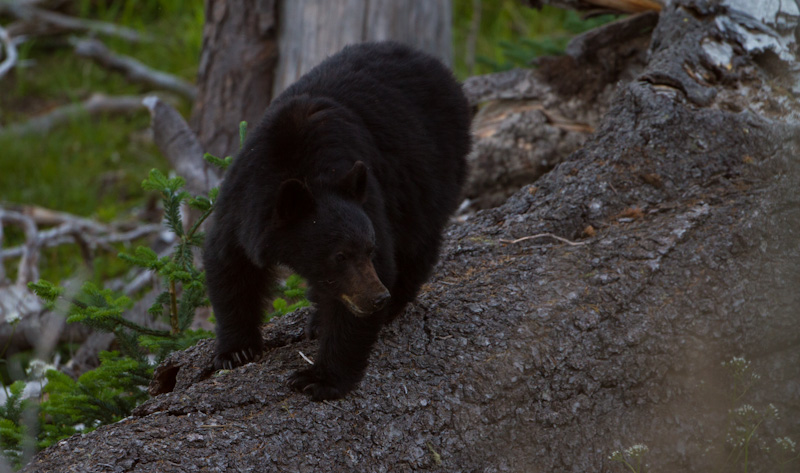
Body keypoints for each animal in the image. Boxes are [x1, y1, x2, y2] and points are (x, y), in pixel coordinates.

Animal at [203, 42, 472, 400]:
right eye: (339, 255)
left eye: (368, 249)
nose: (377, 297)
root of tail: (431, 61)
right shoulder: (241, 200)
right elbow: (229, 263)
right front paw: (236, 349)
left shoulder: (369, 195)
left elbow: (377, 274)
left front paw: (320, 378)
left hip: (431, 170)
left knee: (418, 239)